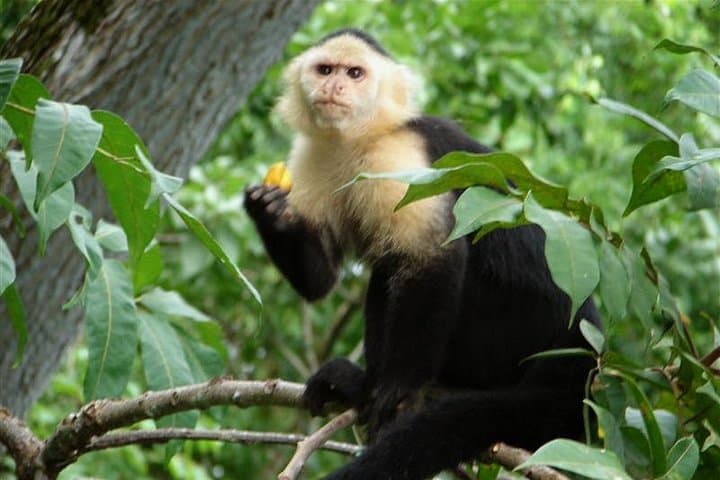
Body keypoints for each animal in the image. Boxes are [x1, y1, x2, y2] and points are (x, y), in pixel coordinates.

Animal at [244, 28, 600, 480]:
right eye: (325, 70)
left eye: (355, 73)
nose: (334, 87)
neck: (359, 139)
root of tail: (584, 344)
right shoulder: (312, 156)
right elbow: (321, 281)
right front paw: (269, 209)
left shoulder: (399, 157)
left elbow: (436, 256)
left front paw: (400, 393)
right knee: (386, 272)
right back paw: (361, 387)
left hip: (508, 336)